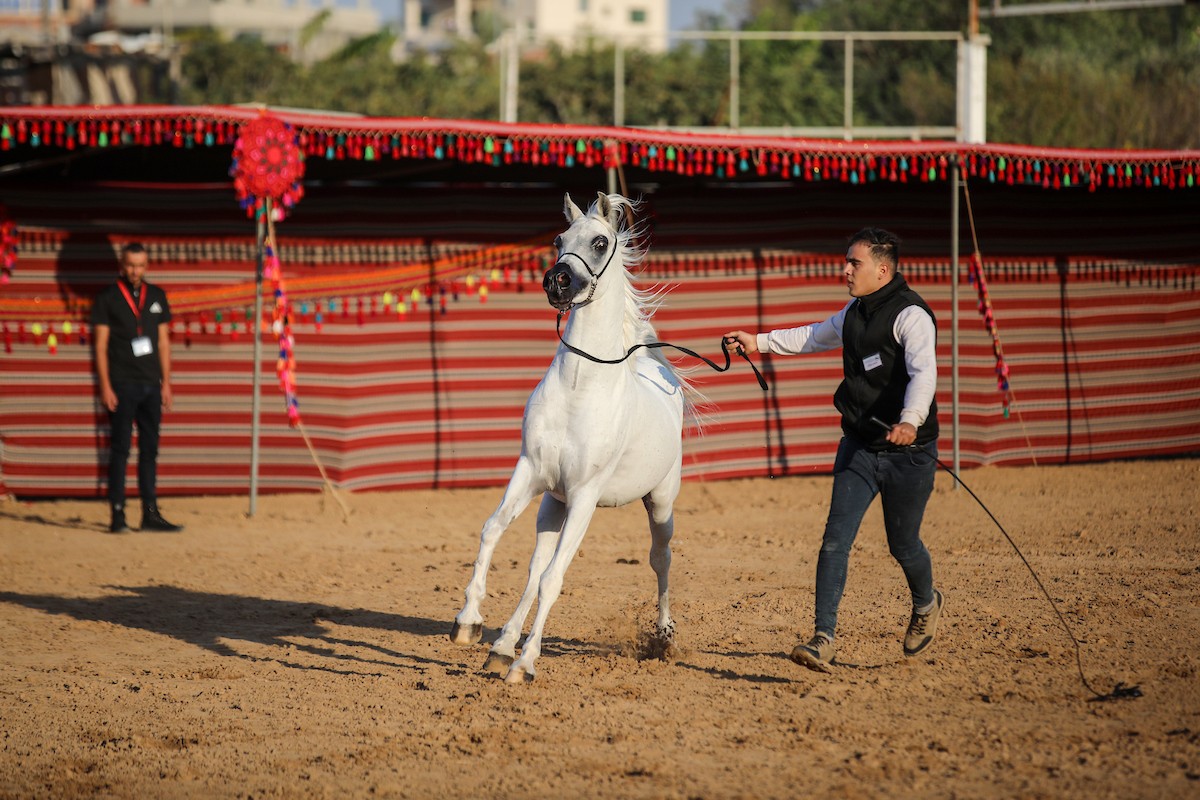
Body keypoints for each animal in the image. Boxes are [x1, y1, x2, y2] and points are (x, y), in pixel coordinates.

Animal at [451, 191, 696, 681]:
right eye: (559, 239)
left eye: (600, 242)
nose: (557, 281)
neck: (581, 387)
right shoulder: (531, 473)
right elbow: (494, 532)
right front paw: (469, 623)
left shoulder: (585, 495)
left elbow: (553, 579)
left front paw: (526, 663)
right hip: (552, 503)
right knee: (533, 567)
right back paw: (501, 644)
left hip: (659, 503)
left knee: (660, 559)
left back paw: (663, 637)